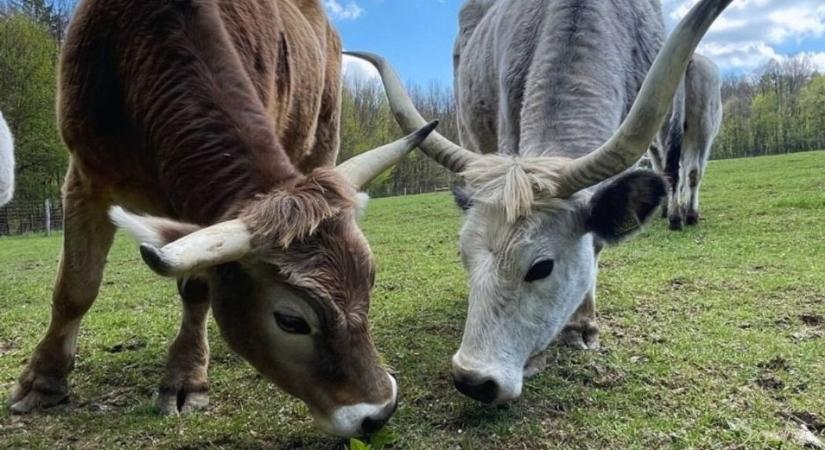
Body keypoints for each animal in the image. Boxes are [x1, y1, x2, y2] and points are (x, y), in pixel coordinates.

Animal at [9, 0, 438, 436]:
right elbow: (75, 287)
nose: (379, 411)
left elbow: (196, 290)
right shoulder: (84, 176)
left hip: (321, 141)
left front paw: (185, 378)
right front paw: (43, 380)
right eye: (290, 320)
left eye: (370, 282)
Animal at [648, 52, 716, 229]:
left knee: (672, 172)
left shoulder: (654, 149)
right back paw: (689, 215)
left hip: (667, 131)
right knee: (693, 172)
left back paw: (674, 216)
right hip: (703, 129)